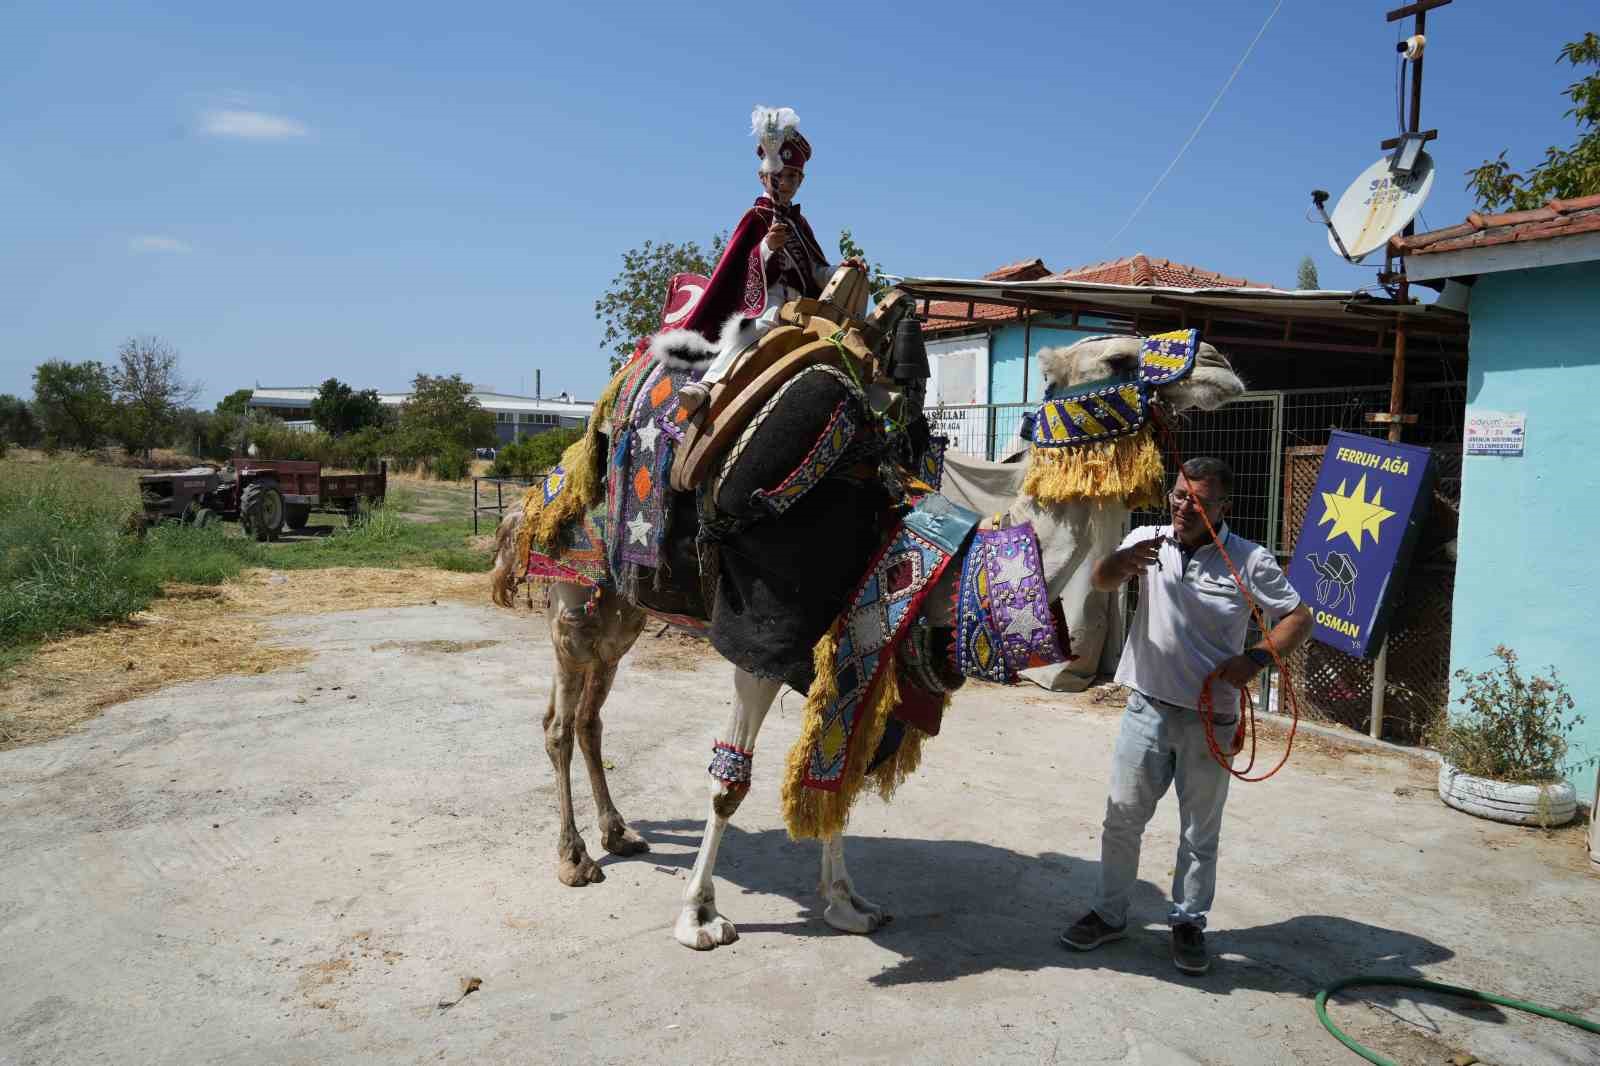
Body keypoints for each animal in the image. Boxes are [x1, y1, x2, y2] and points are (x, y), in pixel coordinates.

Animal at [492, 272, 1241, 947]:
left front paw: (847, 903)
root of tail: (544, 482)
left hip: (624, 610)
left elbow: (844, 771)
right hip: (572, 597)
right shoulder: (763, 641)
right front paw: (700, 917)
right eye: (1115, 359)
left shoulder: (867, 650)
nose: (1222, 364)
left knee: (589, 718)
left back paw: (619, 833)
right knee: (559, 724)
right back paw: (575, 857)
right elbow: (730, 781)